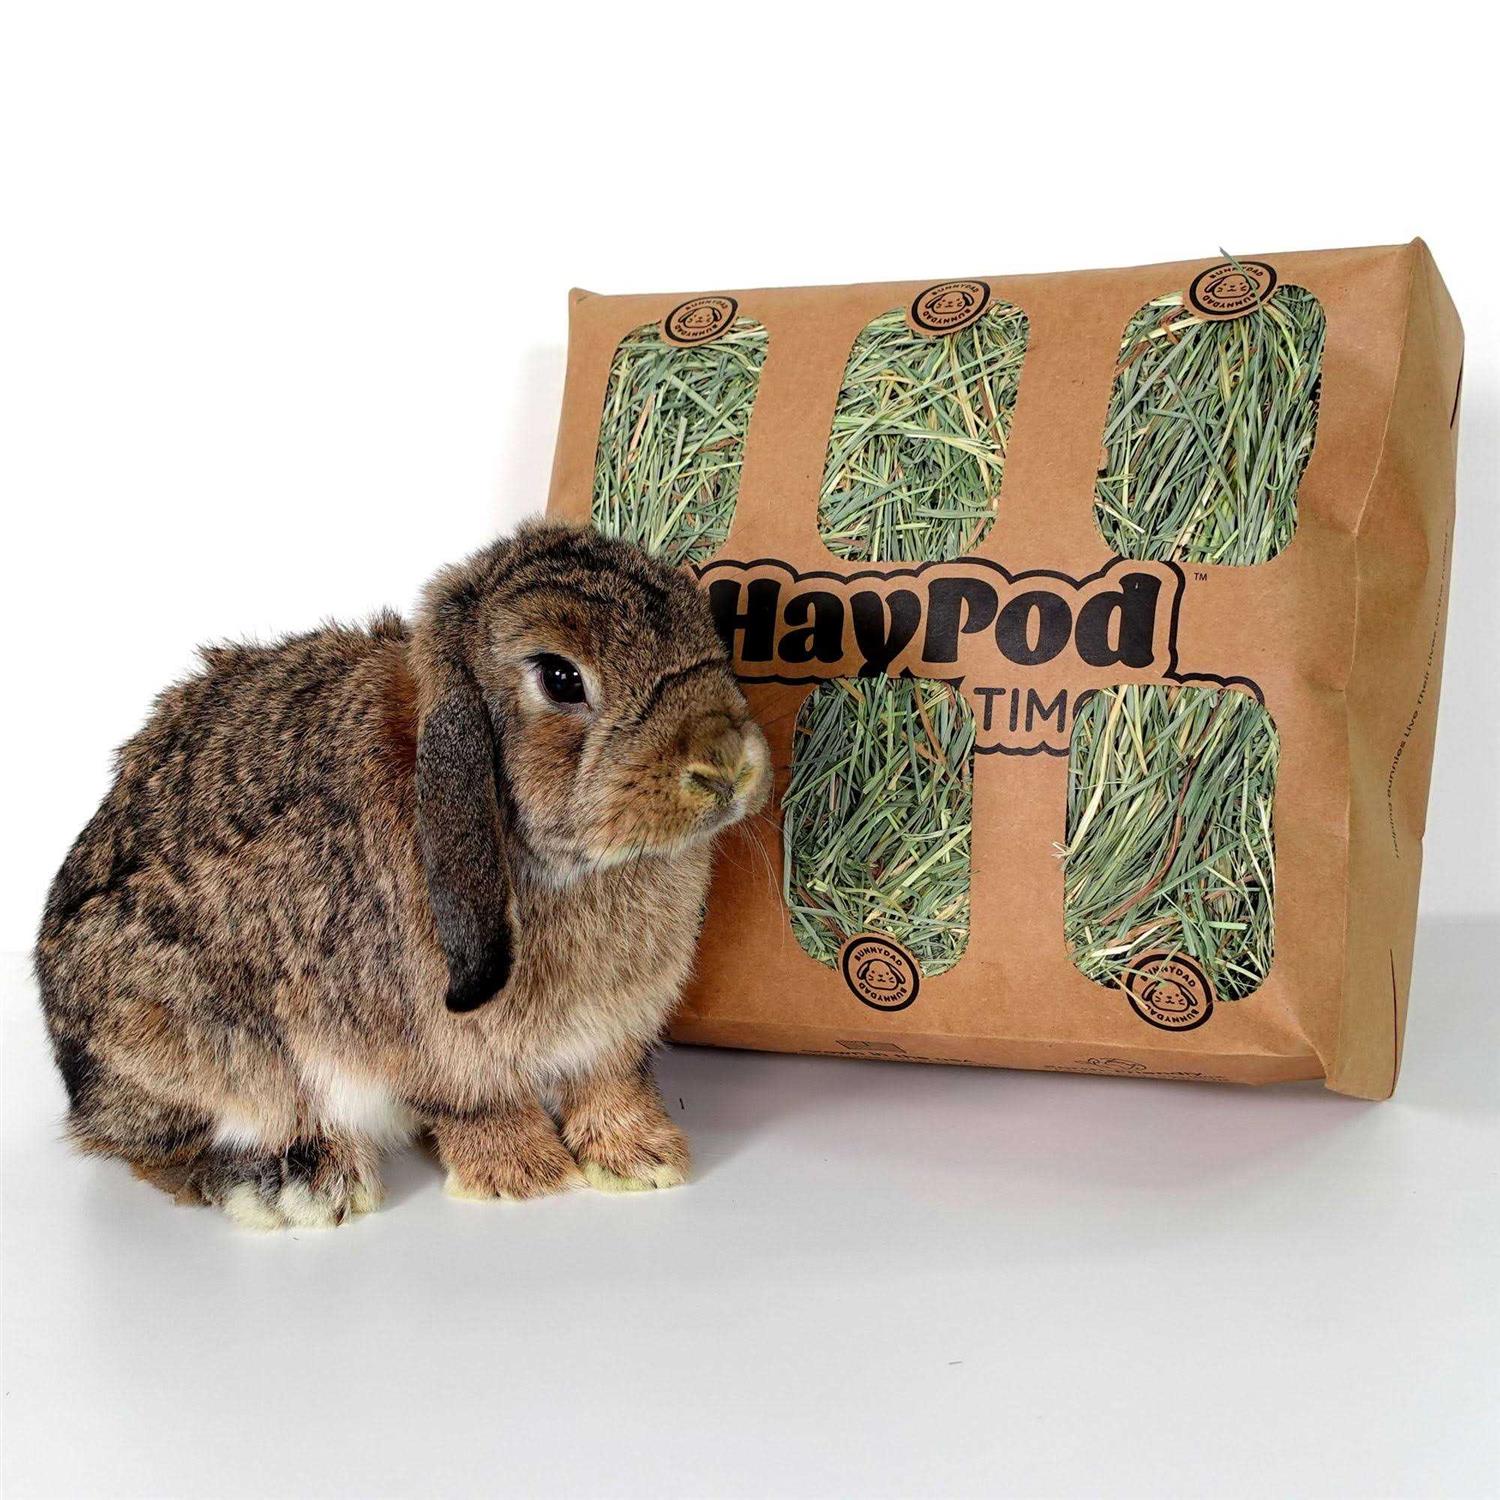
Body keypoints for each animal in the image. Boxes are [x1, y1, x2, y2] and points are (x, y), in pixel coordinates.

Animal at [35, 521, 768, 1230]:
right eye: (561, 678)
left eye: (705, 632)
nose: (726, 766)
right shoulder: (450, 1052)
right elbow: (481, 1108)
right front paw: (522, 1178)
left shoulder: (612, 1041)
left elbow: (611, 1090)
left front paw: (643, 1161)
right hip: (185, 1035)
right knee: (173, 1145)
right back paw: (301, 1184)